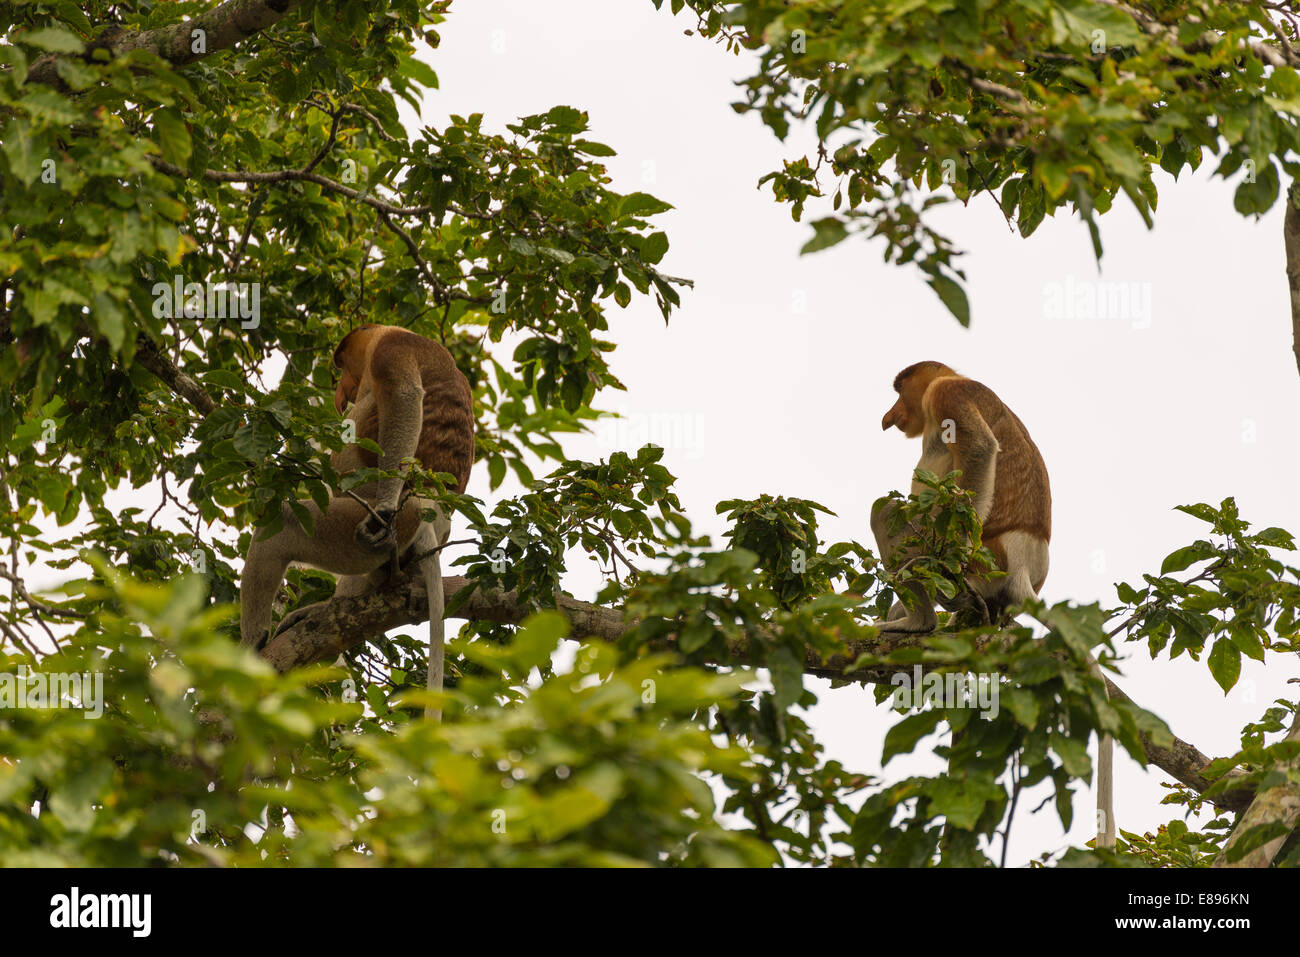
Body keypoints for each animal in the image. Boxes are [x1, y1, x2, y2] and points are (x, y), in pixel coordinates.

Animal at [240, 324, 475, 721]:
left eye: (343, 366)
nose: (341, 392)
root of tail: (431, 511)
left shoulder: (391, 351)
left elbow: (404, 398)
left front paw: (382, 513)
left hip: (376, 514)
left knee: (283, 526)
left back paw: (252, 647)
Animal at [870, 361, 1115, 849]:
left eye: (899, 391)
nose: (889, 416)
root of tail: (1022, 569)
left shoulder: (949, 394)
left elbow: (980, 450)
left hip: (982, 567)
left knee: (886, 509)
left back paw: (919, 621)